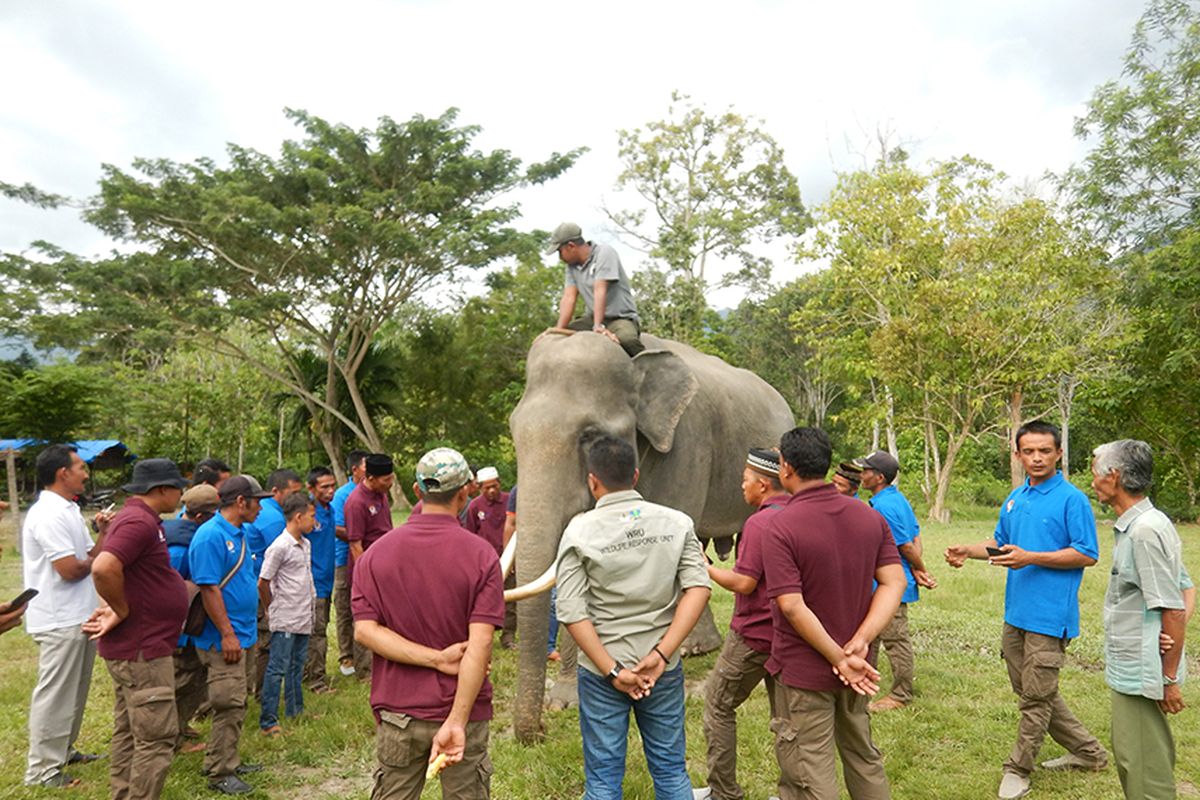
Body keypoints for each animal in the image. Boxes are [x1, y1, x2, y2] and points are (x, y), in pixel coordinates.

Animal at [506, 328, 796, 743]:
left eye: (589, 435)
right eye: (514, 432)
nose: (539, 734)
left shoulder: (688, 445)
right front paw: (566, 701)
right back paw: (697, 648)